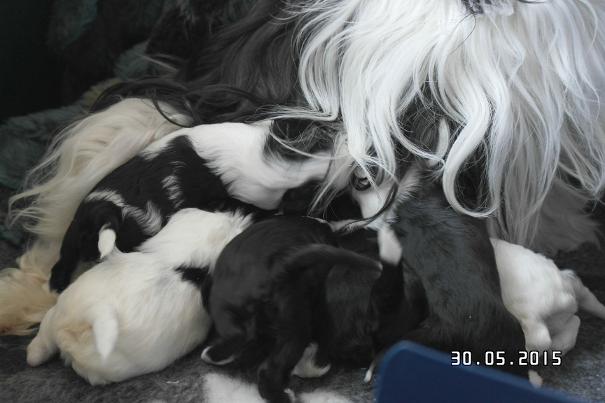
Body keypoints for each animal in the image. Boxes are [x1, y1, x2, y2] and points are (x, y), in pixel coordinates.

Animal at [26, 208, 251, 386]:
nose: (237, 215)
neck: (177, 260)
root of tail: (90, 313)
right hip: (104, 366)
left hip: (57, 312)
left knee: (43, 339)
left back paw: (33, 354)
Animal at [203, 218, 416, 403]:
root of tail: (277, 270)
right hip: (297, 319)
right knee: (273, 366)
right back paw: (286, 394)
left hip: (225, 308)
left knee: (237, 336)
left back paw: (212, 355)